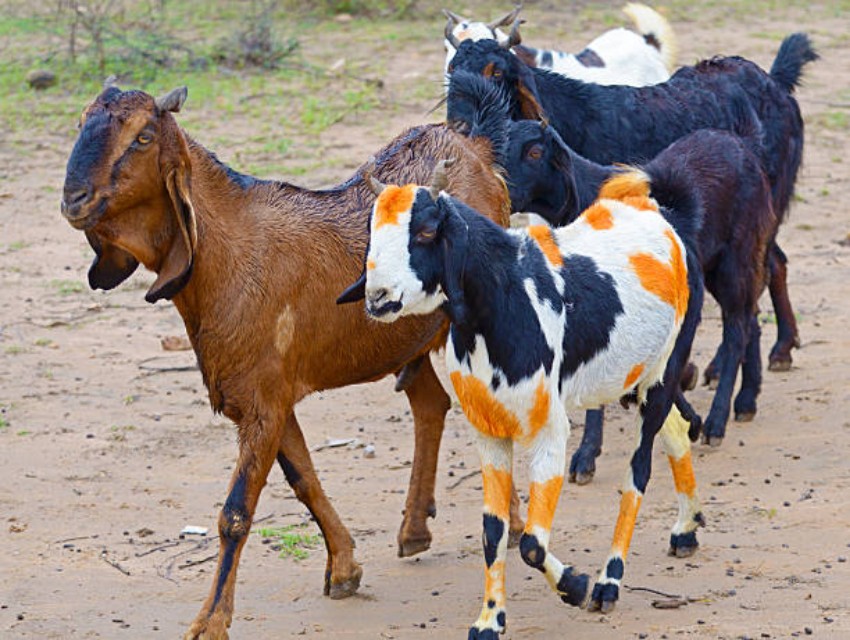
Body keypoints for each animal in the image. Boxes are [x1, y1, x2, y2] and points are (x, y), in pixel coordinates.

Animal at [60, 85, 513, 640]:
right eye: (82, 120)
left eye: (143, 136)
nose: (73, 199)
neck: (227, 252)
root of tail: (474, 146)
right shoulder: (266, 397)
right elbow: (304, 480)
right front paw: (344, 568)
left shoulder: (262, 402)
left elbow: (235, 512)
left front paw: (210, 621)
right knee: (429, 402)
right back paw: (413, 529)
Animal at [340, 162, 705, 631]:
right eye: (373, 234)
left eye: (425, 231)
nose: (379, 296)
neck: (505, 296)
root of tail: (661, 215)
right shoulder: (490, 432)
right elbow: (493, 532)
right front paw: (490, 619)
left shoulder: (549, 430)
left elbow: (531, 542)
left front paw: (576, 586)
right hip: (632, 377)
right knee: (676, 427)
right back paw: (686, 528)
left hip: (664, 370)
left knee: (638, 471)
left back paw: (609, 583)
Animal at [447, 32, 817, 379]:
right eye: (451, 72)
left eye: (496, 71)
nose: (461, 129)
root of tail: (774, 82)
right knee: (771, 266)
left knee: (762, 273)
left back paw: (767, 353)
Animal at [448, 70, 778, 454]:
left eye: (534, 151)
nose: (500, 189)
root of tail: (744, 145)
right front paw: (685, 417)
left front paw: (588, 451)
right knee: (750, 317)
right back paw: (744, 401)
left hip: (736, 259)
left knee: (737, 326)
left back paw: (717, 419)